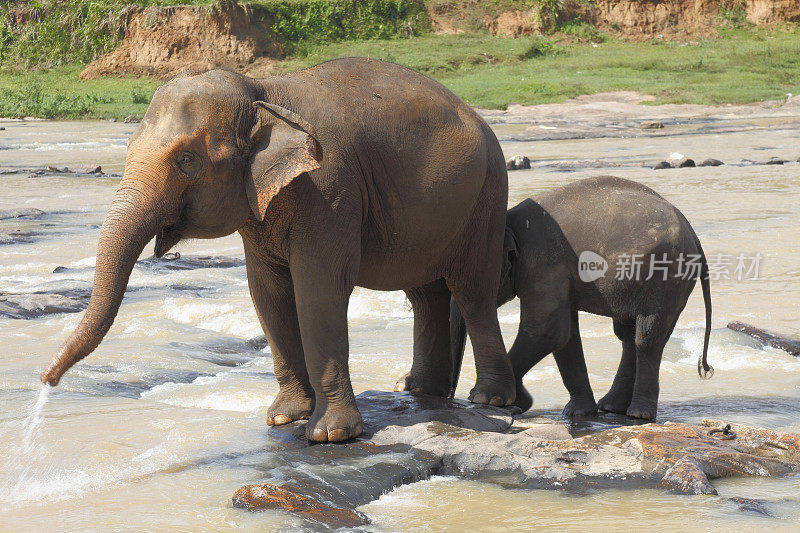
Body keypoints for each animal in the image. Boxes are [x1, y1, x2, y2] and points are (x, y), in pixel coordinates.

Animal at [40, 57, 512, 440]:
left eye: (187, 160)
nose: (46, 382)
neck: (262, 91)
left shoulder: (329, 189)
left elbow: (318, 290)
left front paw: (329, 435)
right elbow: (267, 293)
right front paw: (284, 418)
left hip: (488, 196)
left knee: (473, 292)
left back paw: (488, 401)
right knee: (426, 295)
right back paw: (418, 390)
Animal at [450, 176, 712, 420]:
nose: (452, 399)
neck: (508, 220)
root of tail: (693, 234)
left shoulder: (544, 265)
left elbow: (547, 331)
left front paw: (496, 400)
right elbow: (565, 337)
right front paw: (574, 412)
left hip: (666, 279)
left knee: (646, 337)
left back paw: (638, 414)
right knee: (627, 335)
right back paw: (611, 407)